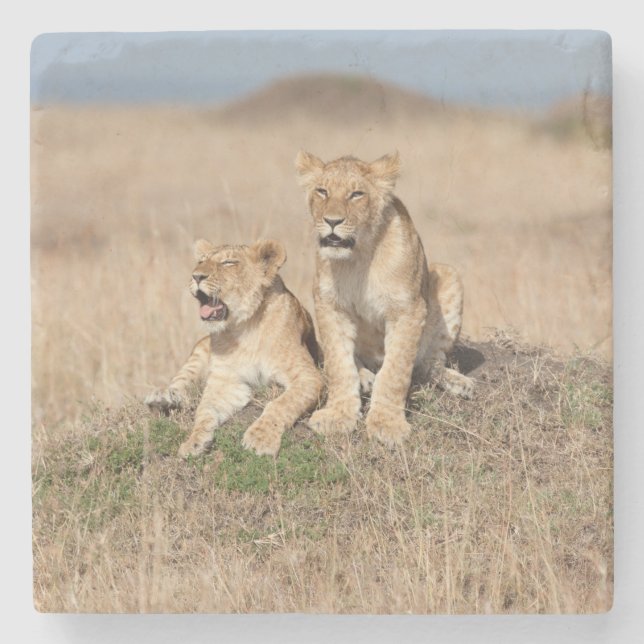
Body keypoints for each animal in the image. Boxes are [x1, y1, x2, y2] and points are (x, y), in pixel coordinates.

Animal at [145, 238, 323, 458]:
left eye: (228, 262)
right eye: (201, 261)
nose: (196, 276)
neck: (244, 327)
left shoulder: (308, 376)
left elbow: (281, 403)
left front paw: (260, 439)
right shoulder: (227, 382)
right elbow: (204, 411)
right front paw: (194, 441)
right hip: (199, 350)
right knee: (180, 383)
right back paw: (161, 399)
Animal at [295, 151, 473, 446]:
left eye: (356, 194)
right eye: (322, 191)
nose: (332, 221)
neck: (358, 257)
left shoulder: (408, 310)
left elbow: (395, 371)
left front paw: (387, 424)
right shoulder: (330, 306)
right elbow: (338, 364)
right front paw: (337, 416)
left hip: (450, 275)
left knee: (429, 363)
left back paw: (459, 383)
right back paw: (364, 376)